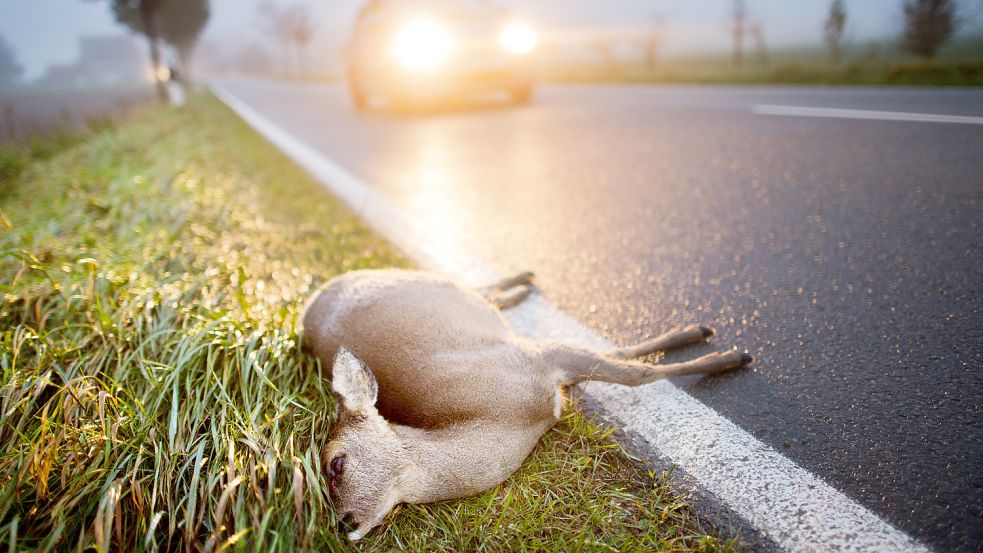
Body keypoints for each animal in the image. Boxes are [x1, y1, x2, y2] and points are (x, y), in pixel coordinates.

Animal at [301, 269, 753, 541]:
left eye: (335, 463)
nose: (342, 524)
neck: (510, 419)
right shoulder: (544, 363)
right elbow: (622, 359)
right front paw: (711, 345)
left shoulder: (536, 358)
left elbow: (634, 373)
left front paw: (725, 355)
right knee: (480, 290)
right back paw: (523, 284)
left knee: (473, 285)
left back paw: (525, 281)